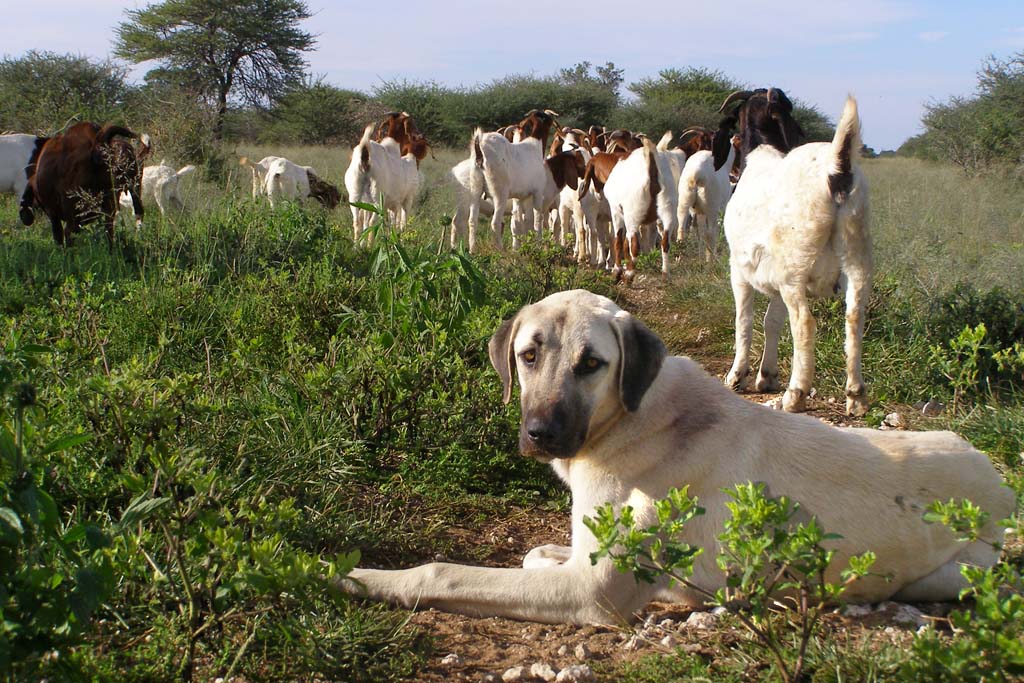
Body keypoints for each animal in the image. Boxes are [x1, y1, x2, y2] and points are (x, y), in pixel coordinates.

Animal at [337, 288, 1015, 626]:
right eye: (528, 356)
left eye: (592, 364)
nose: (541, 434)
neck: (636, 421)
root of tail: (1002, 483)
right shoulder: (587, 557)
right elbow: (537, 553)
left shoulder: (590, 591)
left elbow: (441, 572)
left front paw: (353, 576)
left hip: (958, 573)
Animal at [720, 90, 872, 417]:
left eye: (735, 136)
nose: (732, 174)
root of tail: (838, 167)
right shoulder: (774, 278)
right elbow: (772, 321)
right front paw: (767, 376)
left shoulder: (738, 269)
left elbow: (745, 320)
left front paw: (737, 376)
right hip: (857, 256)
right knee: (854, 317)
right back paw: (856, 396)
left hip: (795, 270)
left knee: (804, 323)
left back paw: (795, 395)